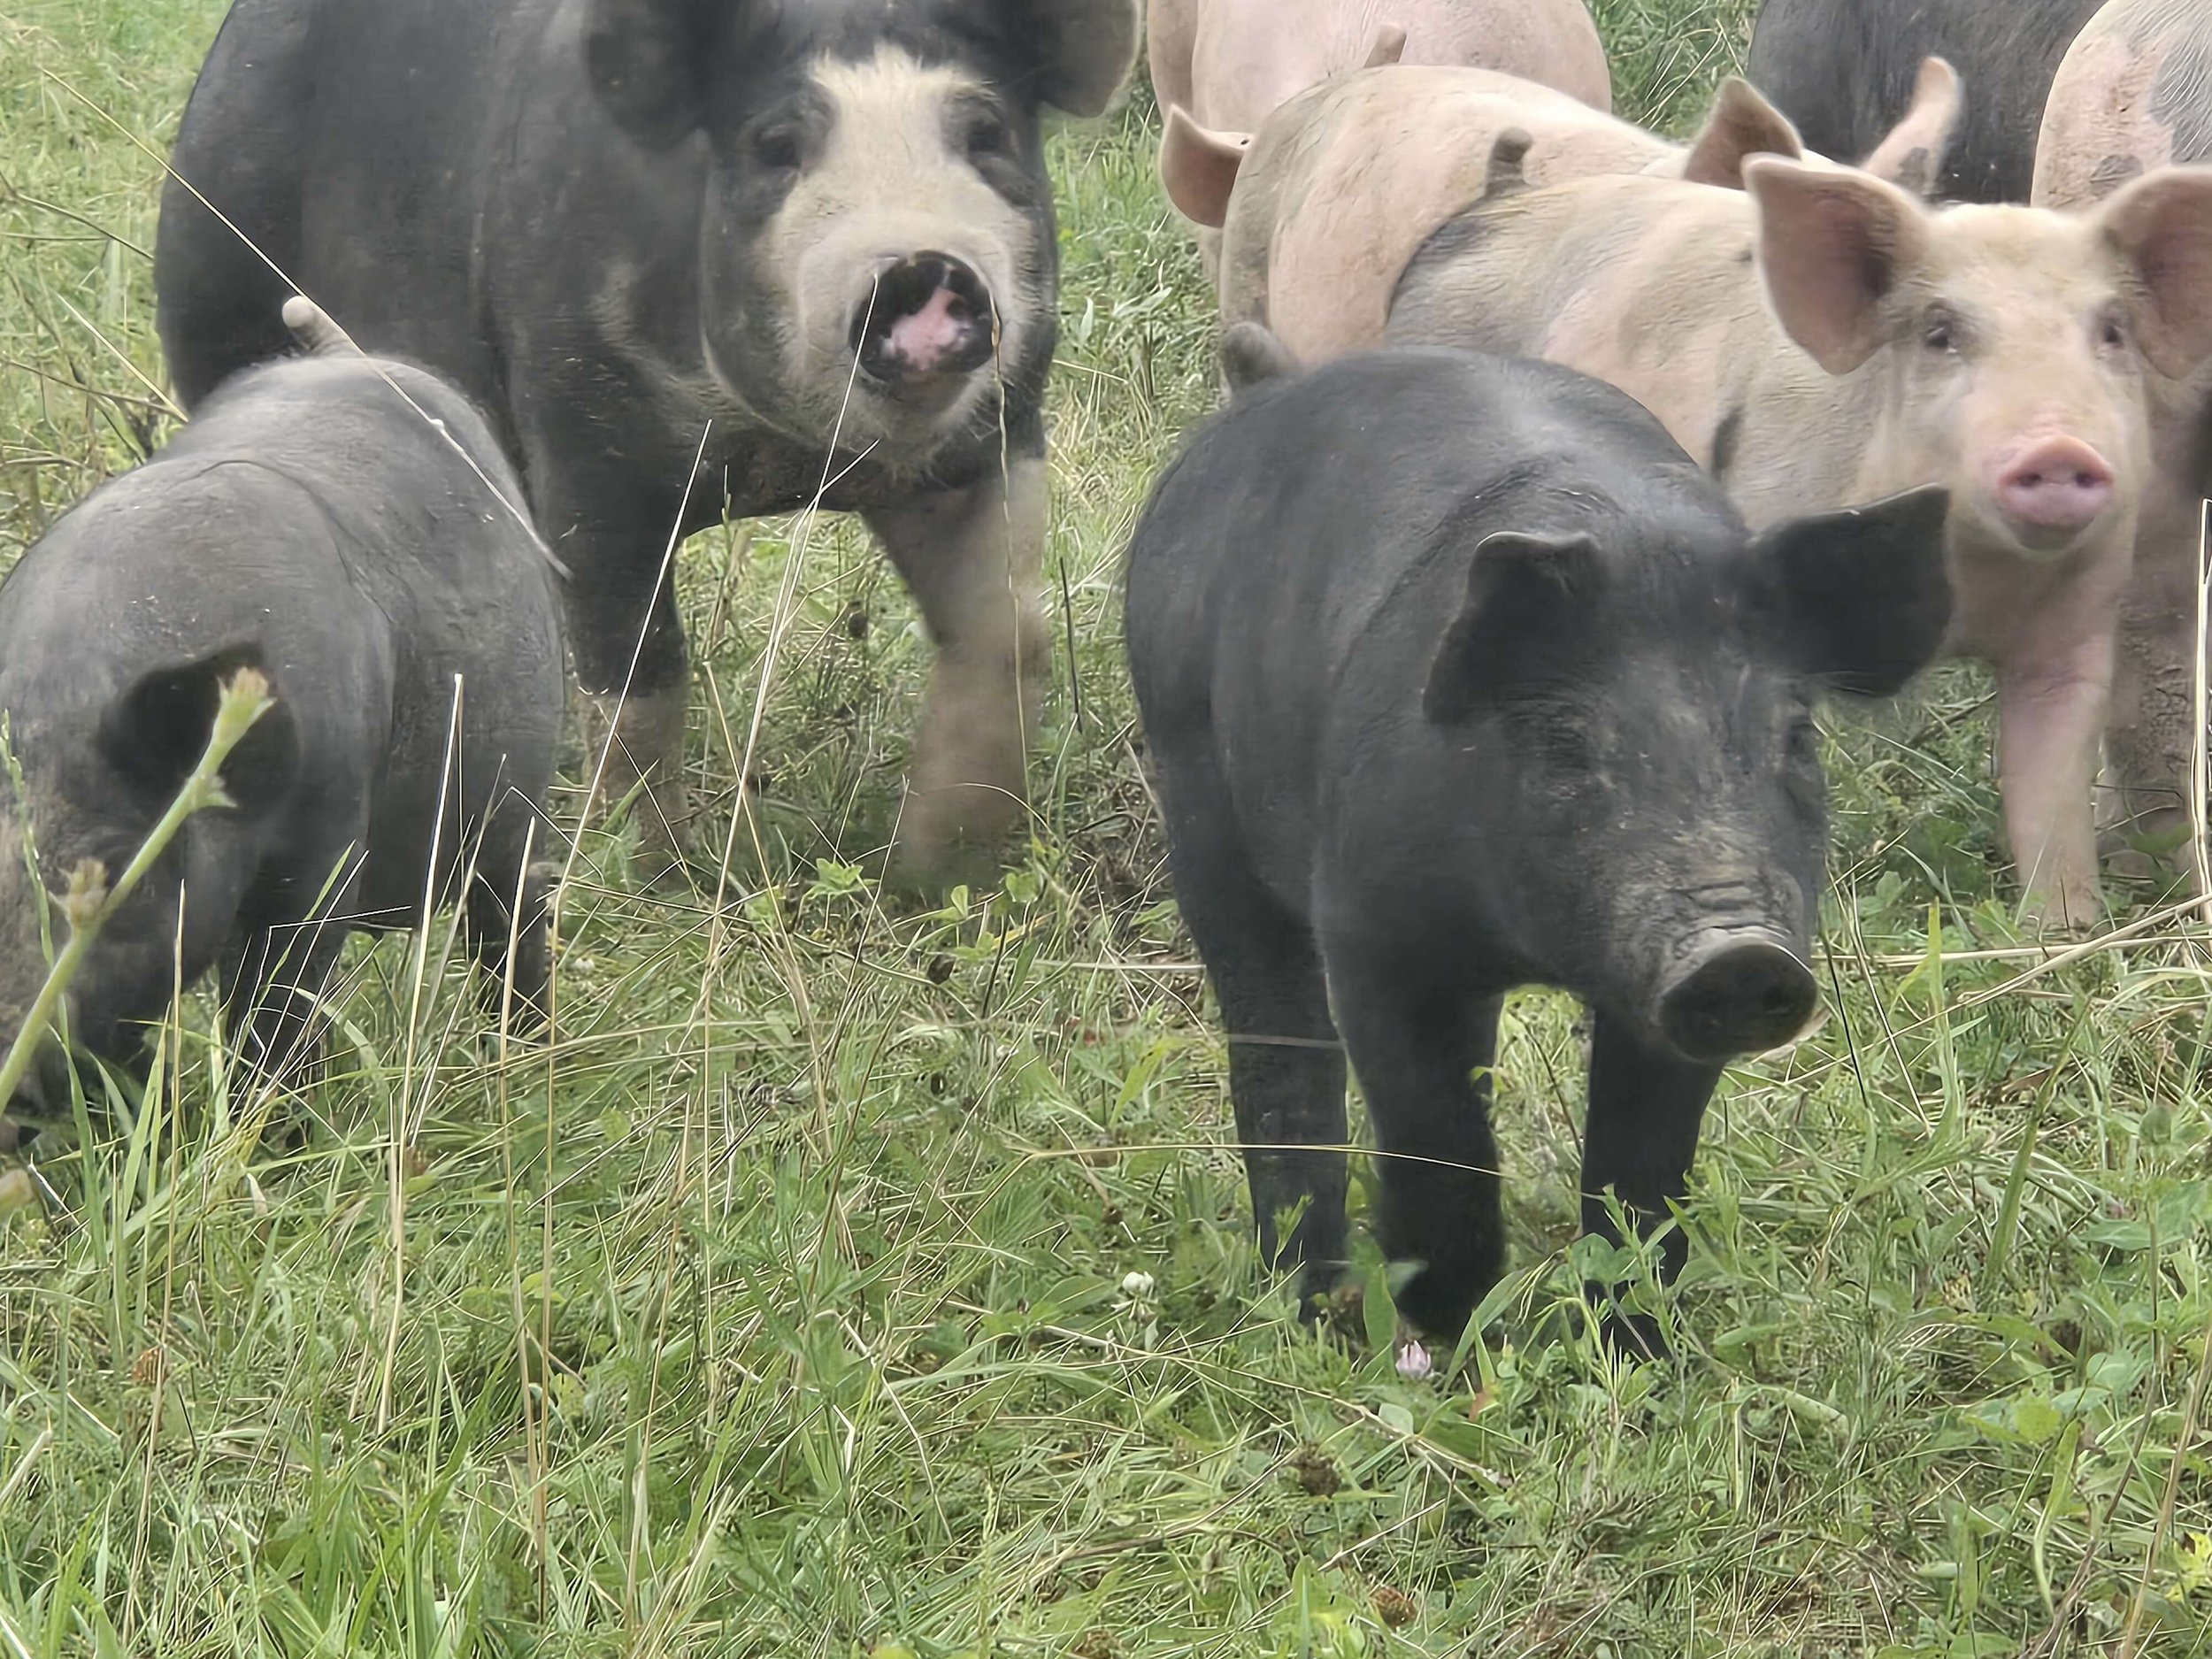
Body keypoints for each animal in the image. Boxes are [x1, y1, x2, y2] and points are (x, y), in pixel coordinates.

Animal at [0, 300, 563, 1118]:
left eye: (113, 866)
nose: (13, 1071)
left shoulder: (324, 837)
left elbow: (275, 1003)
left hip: (520, 798)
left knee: (512, 917)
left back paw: (523, 1068)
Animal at [154, 0, 1140, 888]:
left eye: (984, 133)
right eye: (775, 146)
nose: (921, 263)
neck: (791, 458)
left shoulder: (994, 437)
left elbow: (1006, 635)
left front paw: (938, 885)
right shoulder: (584, 445)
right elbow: (639, 673)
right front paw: (661, 881)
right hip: (217, 287)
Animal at [1125, 339, 1951, 1351]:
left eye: (1796, 735)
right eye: (1568, 744)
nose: (1737, 950)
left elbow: (1643, 1174)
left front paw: (1637, 1355)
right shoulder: (1371, 931)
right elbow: (1434, 1144)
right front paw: (1444, 1345)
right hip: (1194, 791)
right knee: (1278, 1049)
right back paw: (1311, 1308)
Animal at [1387, 160, 2212, 932]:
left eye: (2110, 332)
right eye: (1941, 332)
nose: (2058, 446)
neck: (1971, 582)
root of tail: (1493, 203)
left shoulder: (2078, 624)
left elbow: (2051, 790)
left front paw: (2066, 932)